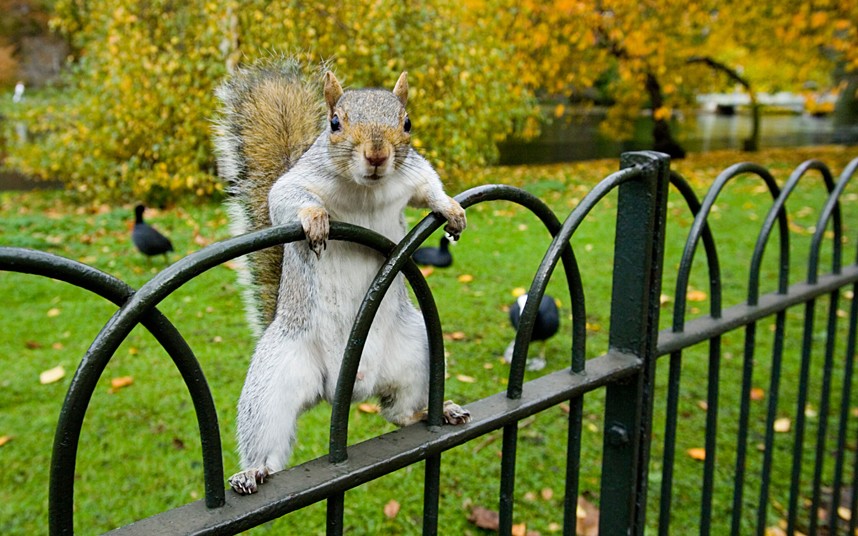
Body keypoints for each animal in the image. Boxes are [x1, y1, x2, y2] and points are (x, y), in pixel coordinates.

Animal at [212, 57, 468, 494]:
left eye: (407, 123)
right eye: (334, 123)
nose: (377, 154)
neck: (365, 189)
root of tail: (345, 386)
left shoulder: (413, 173)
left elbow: (429, 187)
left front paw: (450, 208)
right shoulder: (297, 182)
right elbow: (287, 198)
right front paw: (315, 218)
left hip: (417, 353)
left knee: (398, 413)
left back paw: (435, 411)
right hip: (275, 380)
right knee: (268, 443)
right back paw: (253, 472)